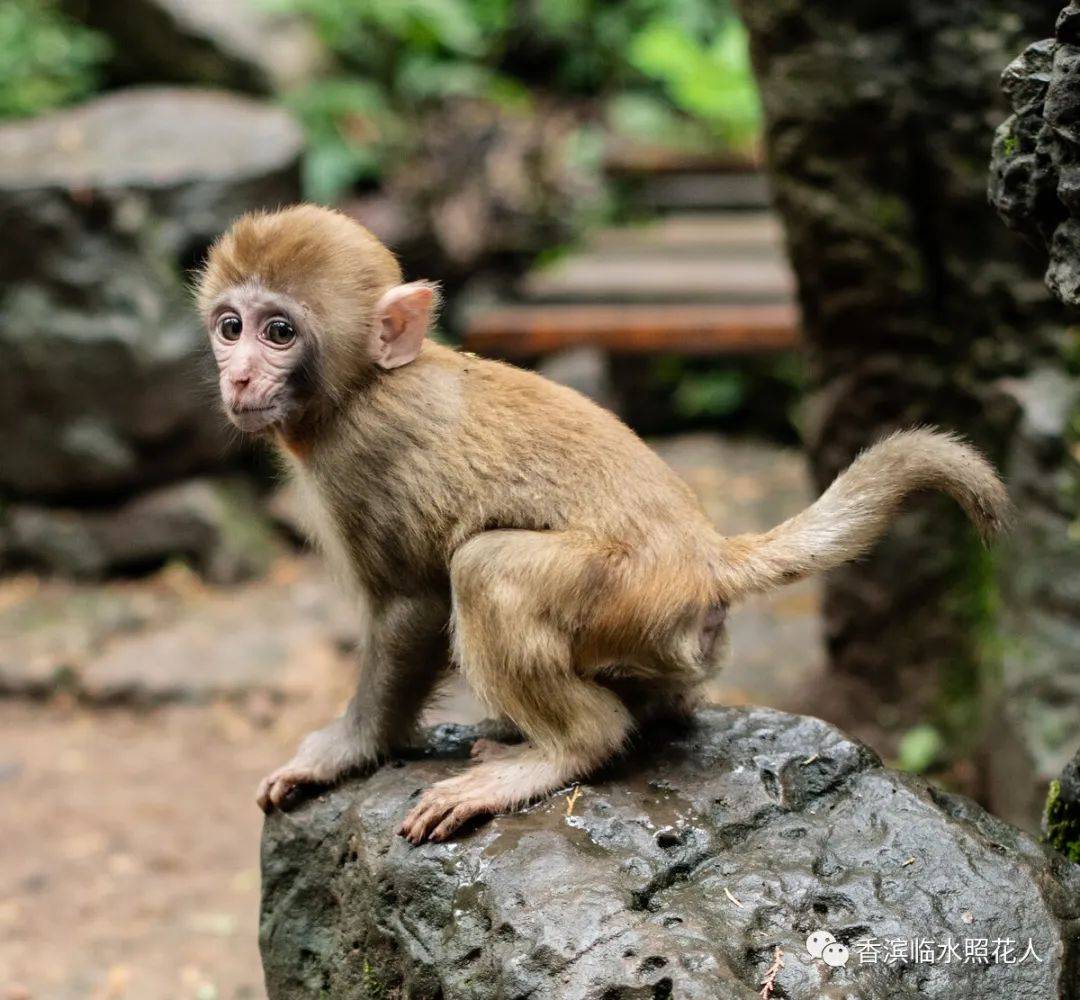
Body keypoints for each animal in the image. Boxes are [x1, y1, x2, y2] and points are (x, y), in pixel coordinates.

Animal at [192, 203, 1002, 846]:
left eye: (279, 331)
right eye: (230, 327)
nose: (238, 374)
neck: (365, 386)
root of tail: (709, 554)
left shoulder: (360, 459)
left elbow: (411, 606)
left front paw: (346, 750)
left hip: (632, 595)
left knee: (486, 569)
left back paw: (568, 749)